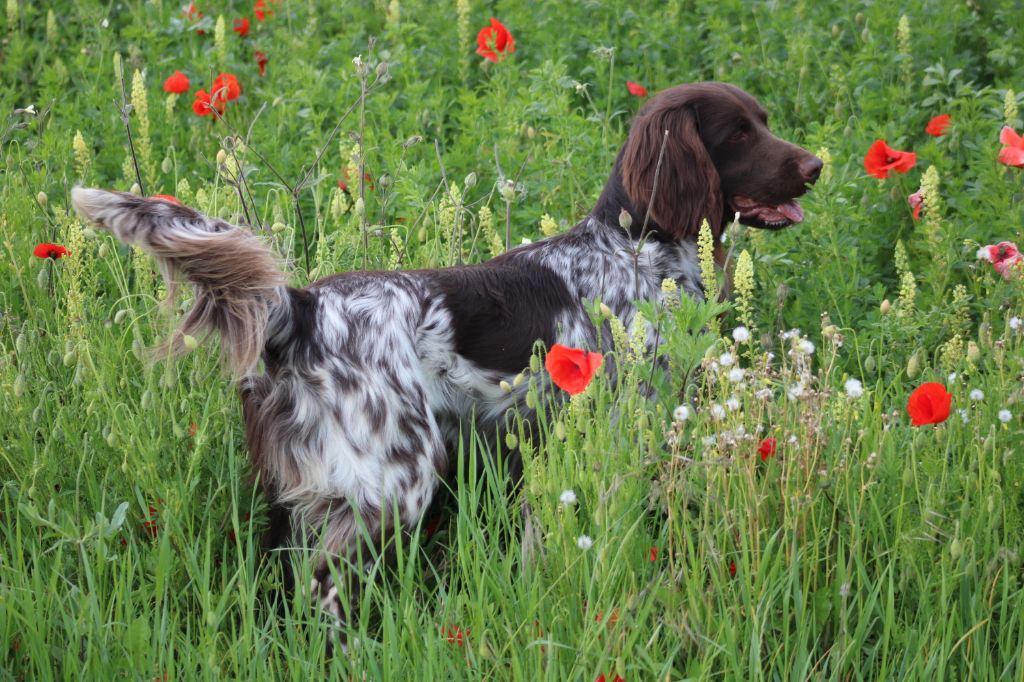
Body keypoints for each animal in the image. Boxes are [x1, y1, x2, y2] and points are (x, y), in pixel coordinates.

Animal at [72, 82, 823, 638]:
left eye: (763, 120)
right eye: (737, 135)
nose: (817, 166)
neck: (635, 247)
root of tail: (304, 309)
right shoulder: (619, 430)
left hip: (298, 497)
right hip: (393, 484)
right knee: (327, 588)